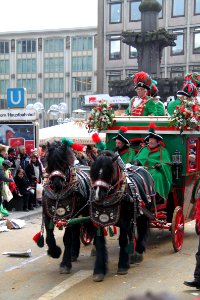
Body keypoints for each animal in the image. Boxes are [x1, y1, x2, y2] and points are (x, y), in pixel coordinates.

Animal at [42, 141, 92, 274]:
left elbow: (67, 239)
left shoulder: (70, 216)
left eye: (64, 163)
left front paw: (65, 263)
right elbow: (49, 238)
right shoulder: (47, 215)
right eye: (48, 162)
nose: (56, 183)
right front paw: (54, 252)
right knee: (77, 229)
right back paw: (74, 253)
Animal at [90, 151, 155, 282]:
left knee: (142, 228)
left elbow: (123, 240)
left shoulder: (124, 221)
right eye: (93, 172)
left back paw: (138, 252)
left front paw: (123, 266)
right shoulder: (97, 221)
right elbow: (99, 243)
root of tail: (144, 169)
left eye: (110, 172)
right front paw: (99, 270)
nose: (98, 195)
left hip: (144, 213)